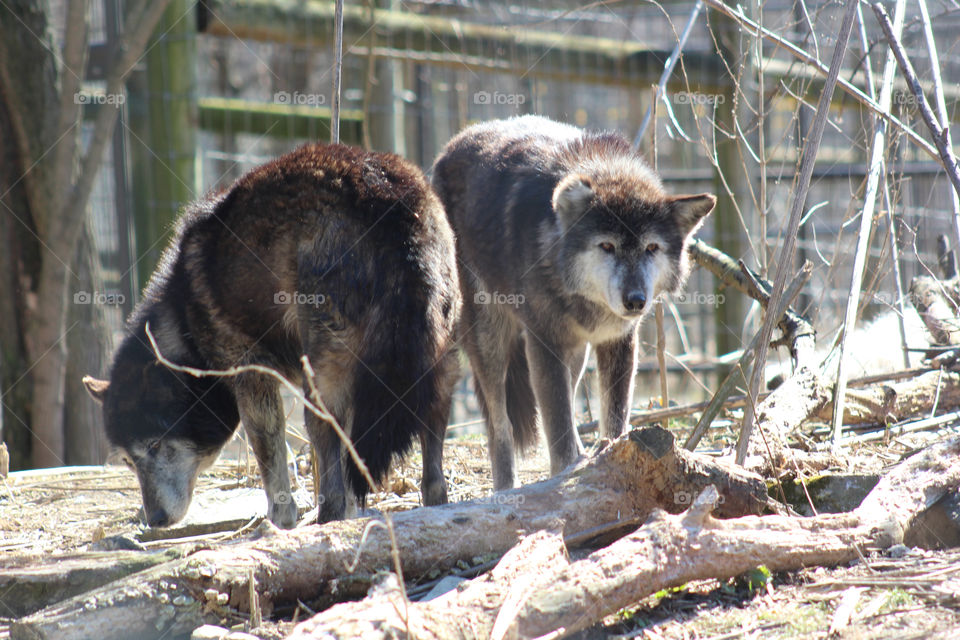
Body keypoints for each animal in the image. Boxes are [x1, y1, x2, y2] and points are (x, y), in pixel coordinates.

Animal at [82, 142, 462, 528]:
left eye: (155, 446)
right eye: (128, 460)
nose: (155, 519)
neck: (184, 317)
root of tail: (390, 199)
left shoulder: (250, 373)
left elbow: (270, 459)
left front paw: (280, 523)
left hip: (322, 390)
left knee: (333, 482)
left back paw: (324, 522)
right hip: (440, 371)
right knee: (433, 477)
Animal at [434, 115, 712, 490]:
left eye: (651, 248)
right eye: (607, 246)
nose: (636, 301)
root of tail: (455, 142)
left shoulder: (619, 340)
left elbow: (614, 416)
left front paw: (614, 459)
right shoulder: (543, 341)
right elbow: (558, 424)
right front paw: (568, 475)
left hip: (575, 353)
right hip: (489, 339)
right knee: (499, 425)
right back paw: (505, 489)